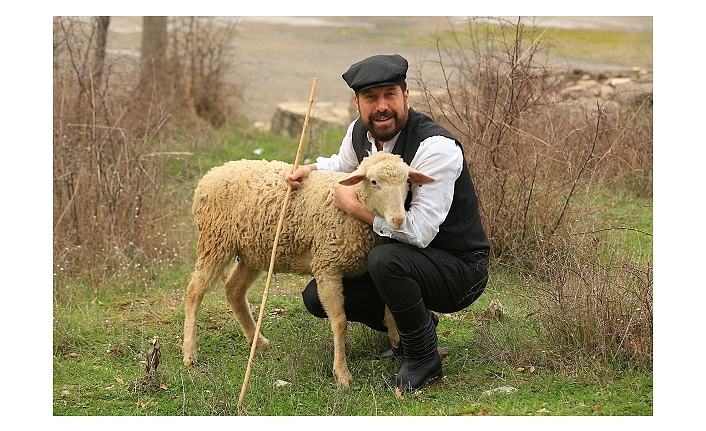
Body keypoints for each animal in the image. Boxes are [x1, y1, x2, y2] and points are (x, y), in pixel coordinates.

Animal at [180, 153, 434, 388]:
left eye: (406, 181)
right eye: (373, 182)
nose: (399, 220)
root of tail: (213, 172)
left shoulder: (366, 265)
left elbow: (390, 303)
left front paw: (394, 337)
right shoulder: (327, 266)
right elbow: (340, 322)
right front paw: (341, 374)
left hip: (253, 251)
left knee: (234, 290)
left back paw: (258, 342)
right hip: (215, 240)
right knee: (195, 291)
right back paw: (189, 353)